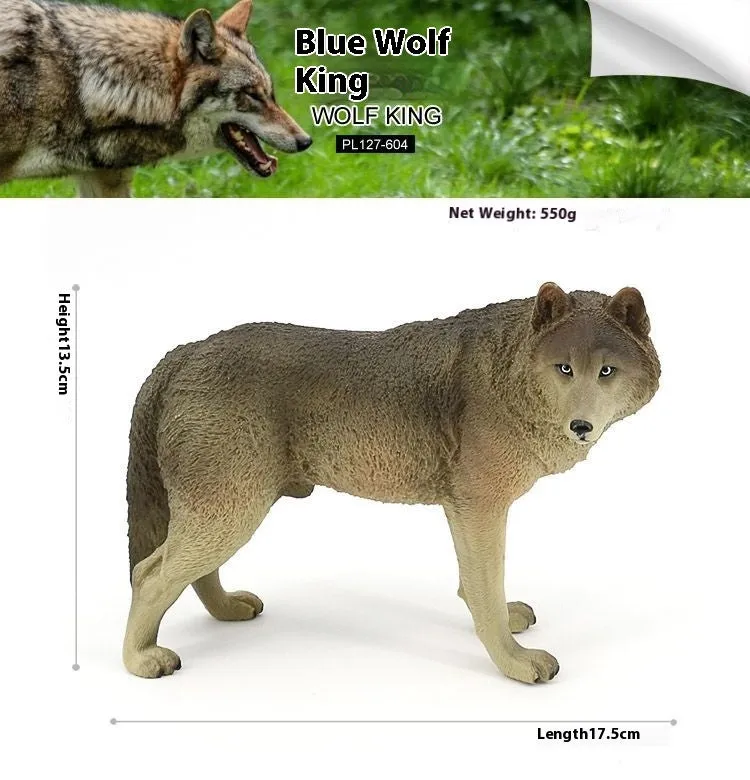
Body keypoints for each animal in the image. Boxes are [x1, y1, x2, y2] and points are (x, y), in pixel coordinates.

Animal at [124, 283, 660, 682]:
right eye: (564, 368)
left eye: (607, 371)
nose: (581, 427)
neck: (509, 371)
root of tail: (183, 351)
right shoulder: (479, 506)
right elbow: (485, 589)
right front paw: (513, 662)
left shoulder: (467, 510)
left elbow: (477, 586)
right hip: (231, 509)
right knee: (149, 574)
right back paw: (141, 660)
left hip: (226, 507)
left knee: (190, 572)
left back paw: (227, 610)